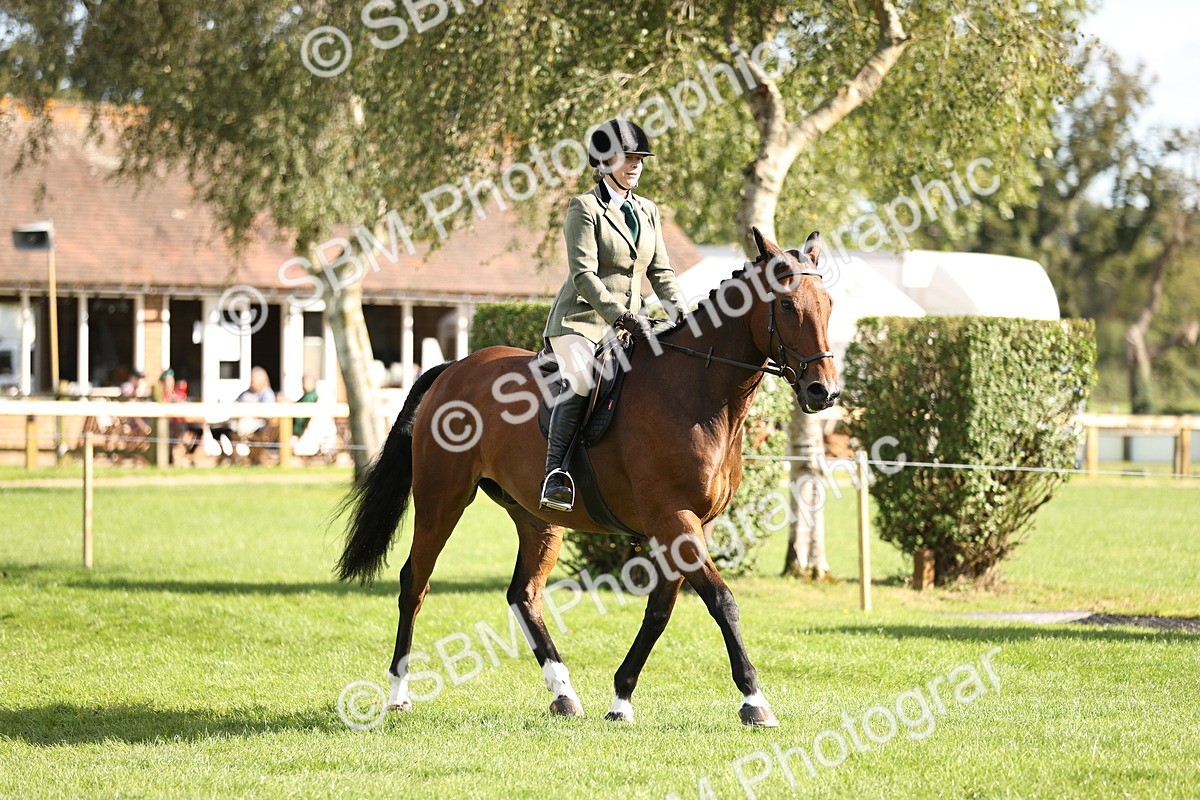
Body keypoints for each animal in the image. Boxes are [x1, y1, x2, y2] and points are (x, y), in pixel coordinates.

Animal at [336, 227, 840, 727]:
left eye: (829, 304)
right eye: (788, 306)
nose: (824, 391)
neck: (697, 393)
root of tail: (452, 370)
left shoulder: (687, 526)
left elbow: (660, 611)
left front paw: (621, 698)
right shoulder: (674, 519)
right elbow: (722, 601)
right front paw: (754, 700)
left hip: (536, 517)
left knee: (524, 594)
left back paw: (563, 693)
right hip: (442, 500)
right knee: (414, 584)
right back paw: (397, 694)